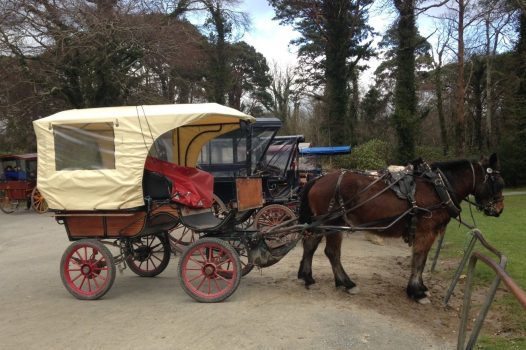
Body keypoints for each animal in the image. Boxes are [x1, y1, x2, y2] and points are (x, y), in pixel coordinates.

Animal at [300, 153, 506, 304]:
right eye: (498, 182)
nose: (499, 209)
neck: (438, 187)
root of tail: (319, 179)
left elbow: (420, 260)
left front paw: (420, 287)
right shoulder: (426, 232)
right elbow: (419, 260)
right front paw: (416, 292)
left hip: (322, 224)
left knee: (310, 246)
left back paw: (307, 278)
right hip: (334, 224)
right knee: (332, 252)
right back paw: (346, 283)